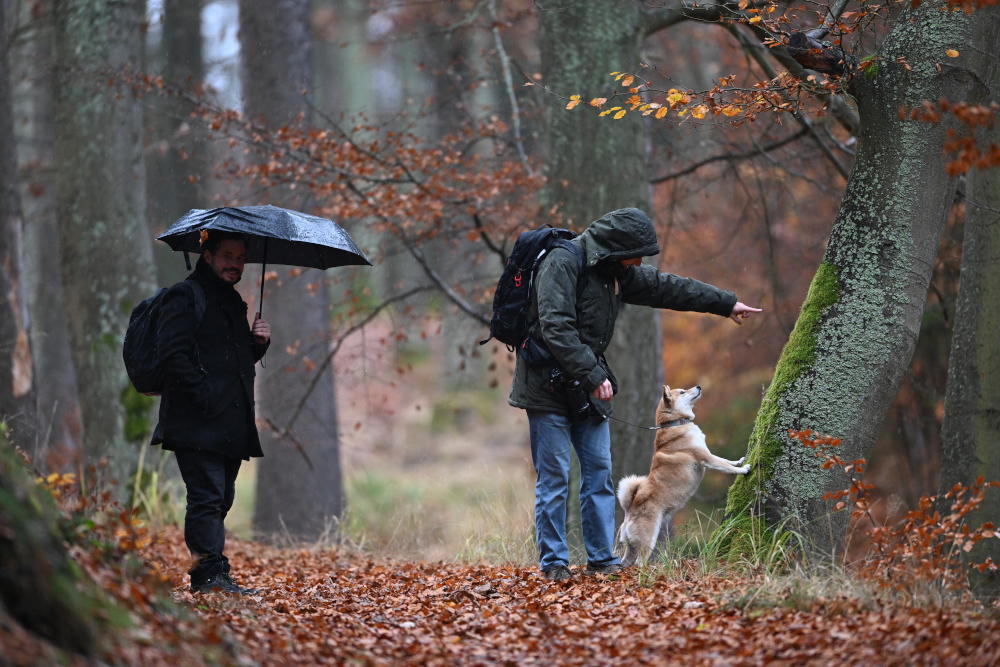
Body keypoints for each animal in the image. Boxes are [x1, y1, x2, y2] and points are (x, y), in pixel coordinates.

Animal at [616, 384, 752, 568]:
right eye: (682, 392)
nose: (699, 386)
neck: (675, 424)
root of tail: (630, 509)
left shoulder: (708, 454)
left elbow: (725, 461)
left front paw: (738, 461)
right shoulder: (705, 457)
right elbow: (723, 465)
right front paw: (743, 469)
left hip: (630, 547)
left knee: (625, 562)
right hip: (648, 539)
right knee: (640, 562)